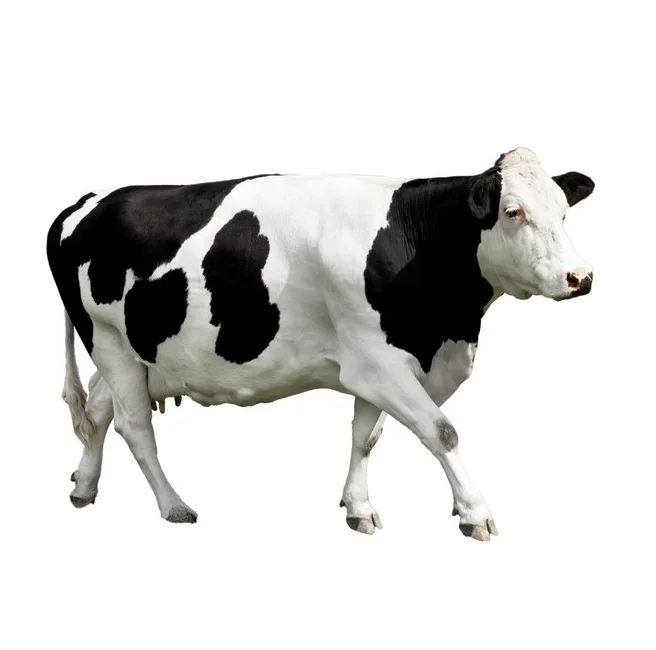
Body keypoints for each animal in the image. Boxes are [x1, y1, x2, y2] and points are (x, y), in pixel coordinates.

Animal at [47, 147, 594, 541]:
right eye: (513, 212)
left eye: (564, 212)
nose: (580, 277)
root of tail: (90, 199)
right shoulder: (377, 363)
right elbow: (443, 432)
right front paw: (474, 513)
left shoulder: (377, 366)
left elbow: (366, 437)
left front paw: (358, 508)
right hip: (109, 340)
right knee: (134, 425)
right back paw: (174, 506)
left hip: (136, 353)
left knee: (99, 408)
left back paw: (85, 486)